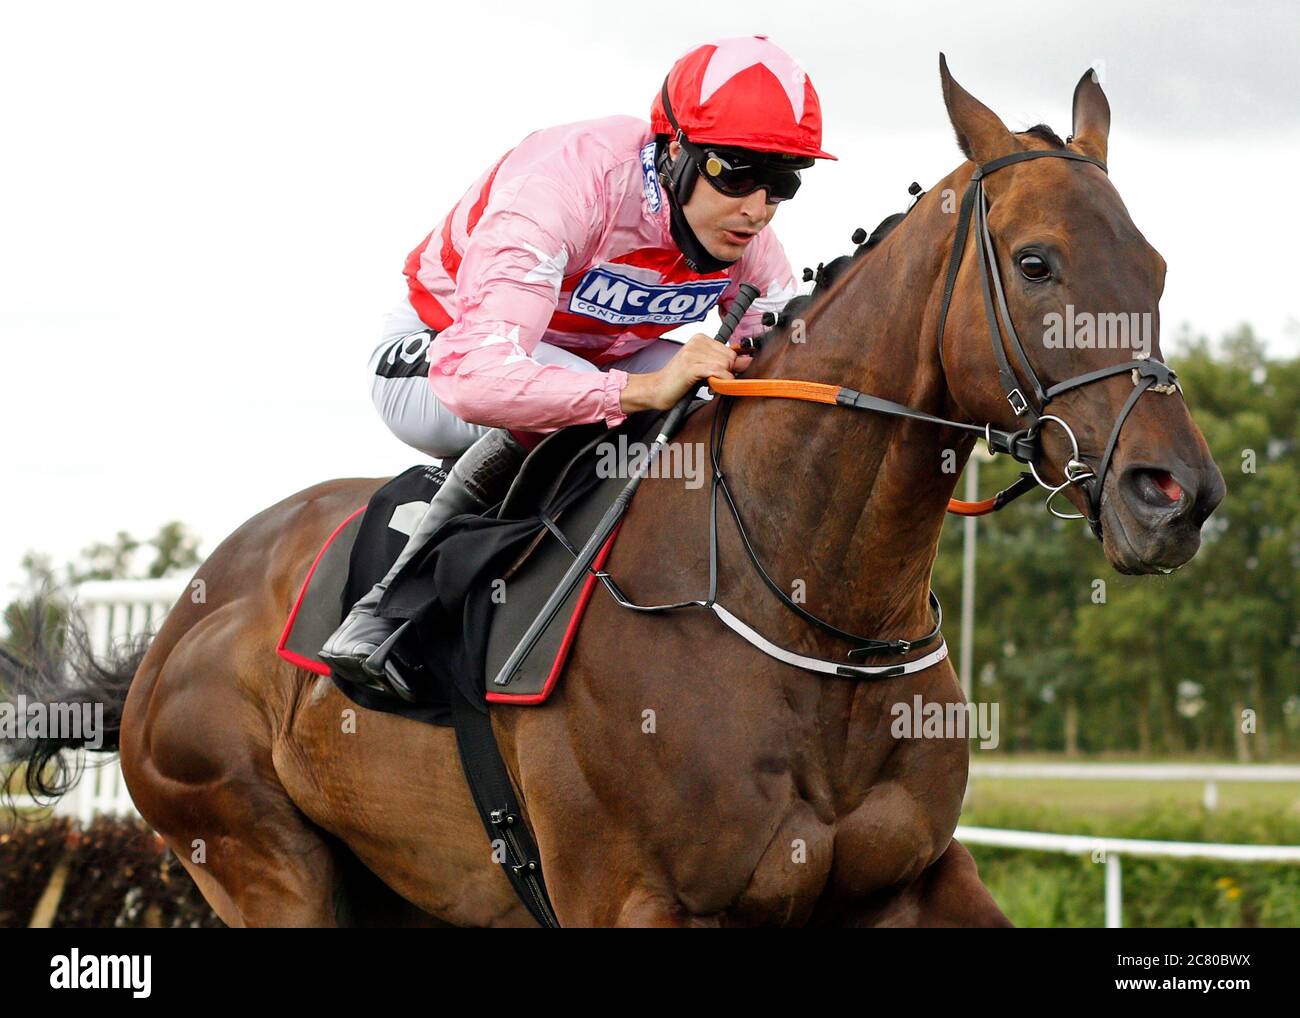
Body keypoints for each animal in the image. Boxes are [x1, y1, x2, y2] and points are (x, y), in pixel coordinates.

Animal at [10, 59, 1222, 925]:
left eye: (1159, 268)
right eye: (1036, 262)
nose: (1177, 494)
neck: (807, 610)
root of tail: (180, 619)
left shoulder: (912, 878)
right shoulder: (634, 898)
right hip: (262, 858)